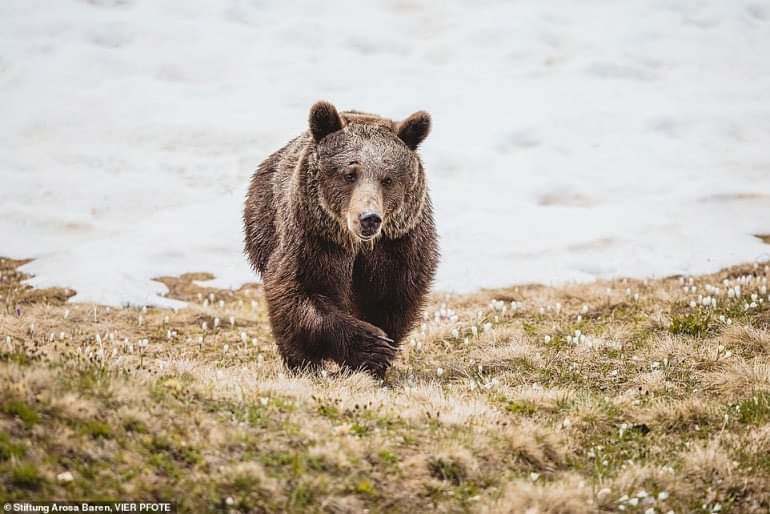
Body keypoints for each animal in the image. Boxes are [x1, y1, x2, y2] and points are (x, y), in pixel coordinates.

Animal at [244, 101, 438, 376]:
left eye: (388, 178)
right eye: (350, 173)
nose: (369, 218)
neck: (358, 246)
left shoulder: (398, 248)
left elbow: (391, 300)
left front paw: (377, 359)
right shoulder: (313, 242)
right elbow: (299, 294)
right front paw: (371, 346)